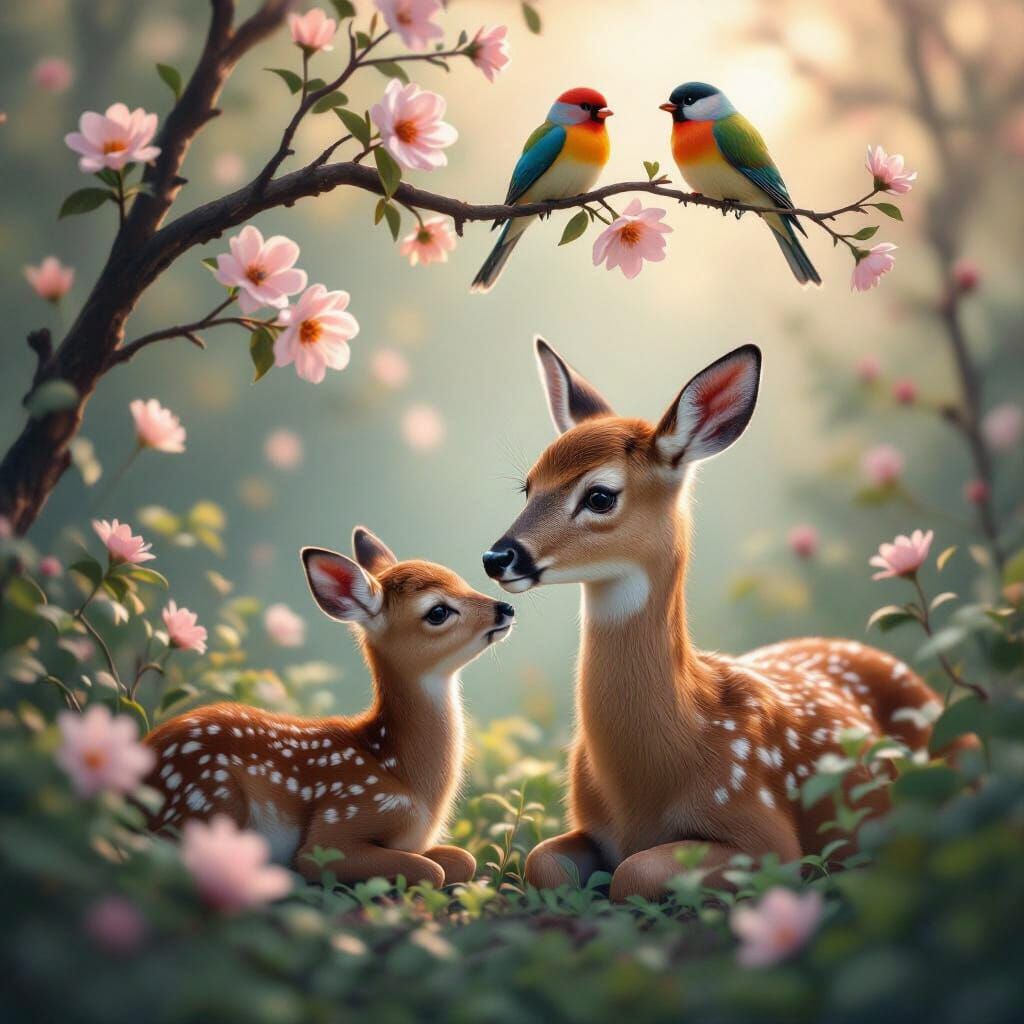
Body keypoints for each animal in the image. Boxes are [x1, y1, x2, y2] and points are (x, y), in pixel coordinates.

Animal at [143, 527, 515, 888]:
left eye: (461, 580)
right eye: (437, 611)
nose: (506, 608)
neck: (402, 773)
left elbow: (463, 859)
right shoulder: (343, 816)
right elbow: (430, 871)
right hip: (212, 796)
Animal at [483, 338, 969, 902]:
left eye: (599, 496)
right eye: (528, 486)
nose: (497, 557)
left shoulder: (765, 835)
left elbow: (634, 872)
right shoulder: (586, 823)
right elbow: (542, 860)